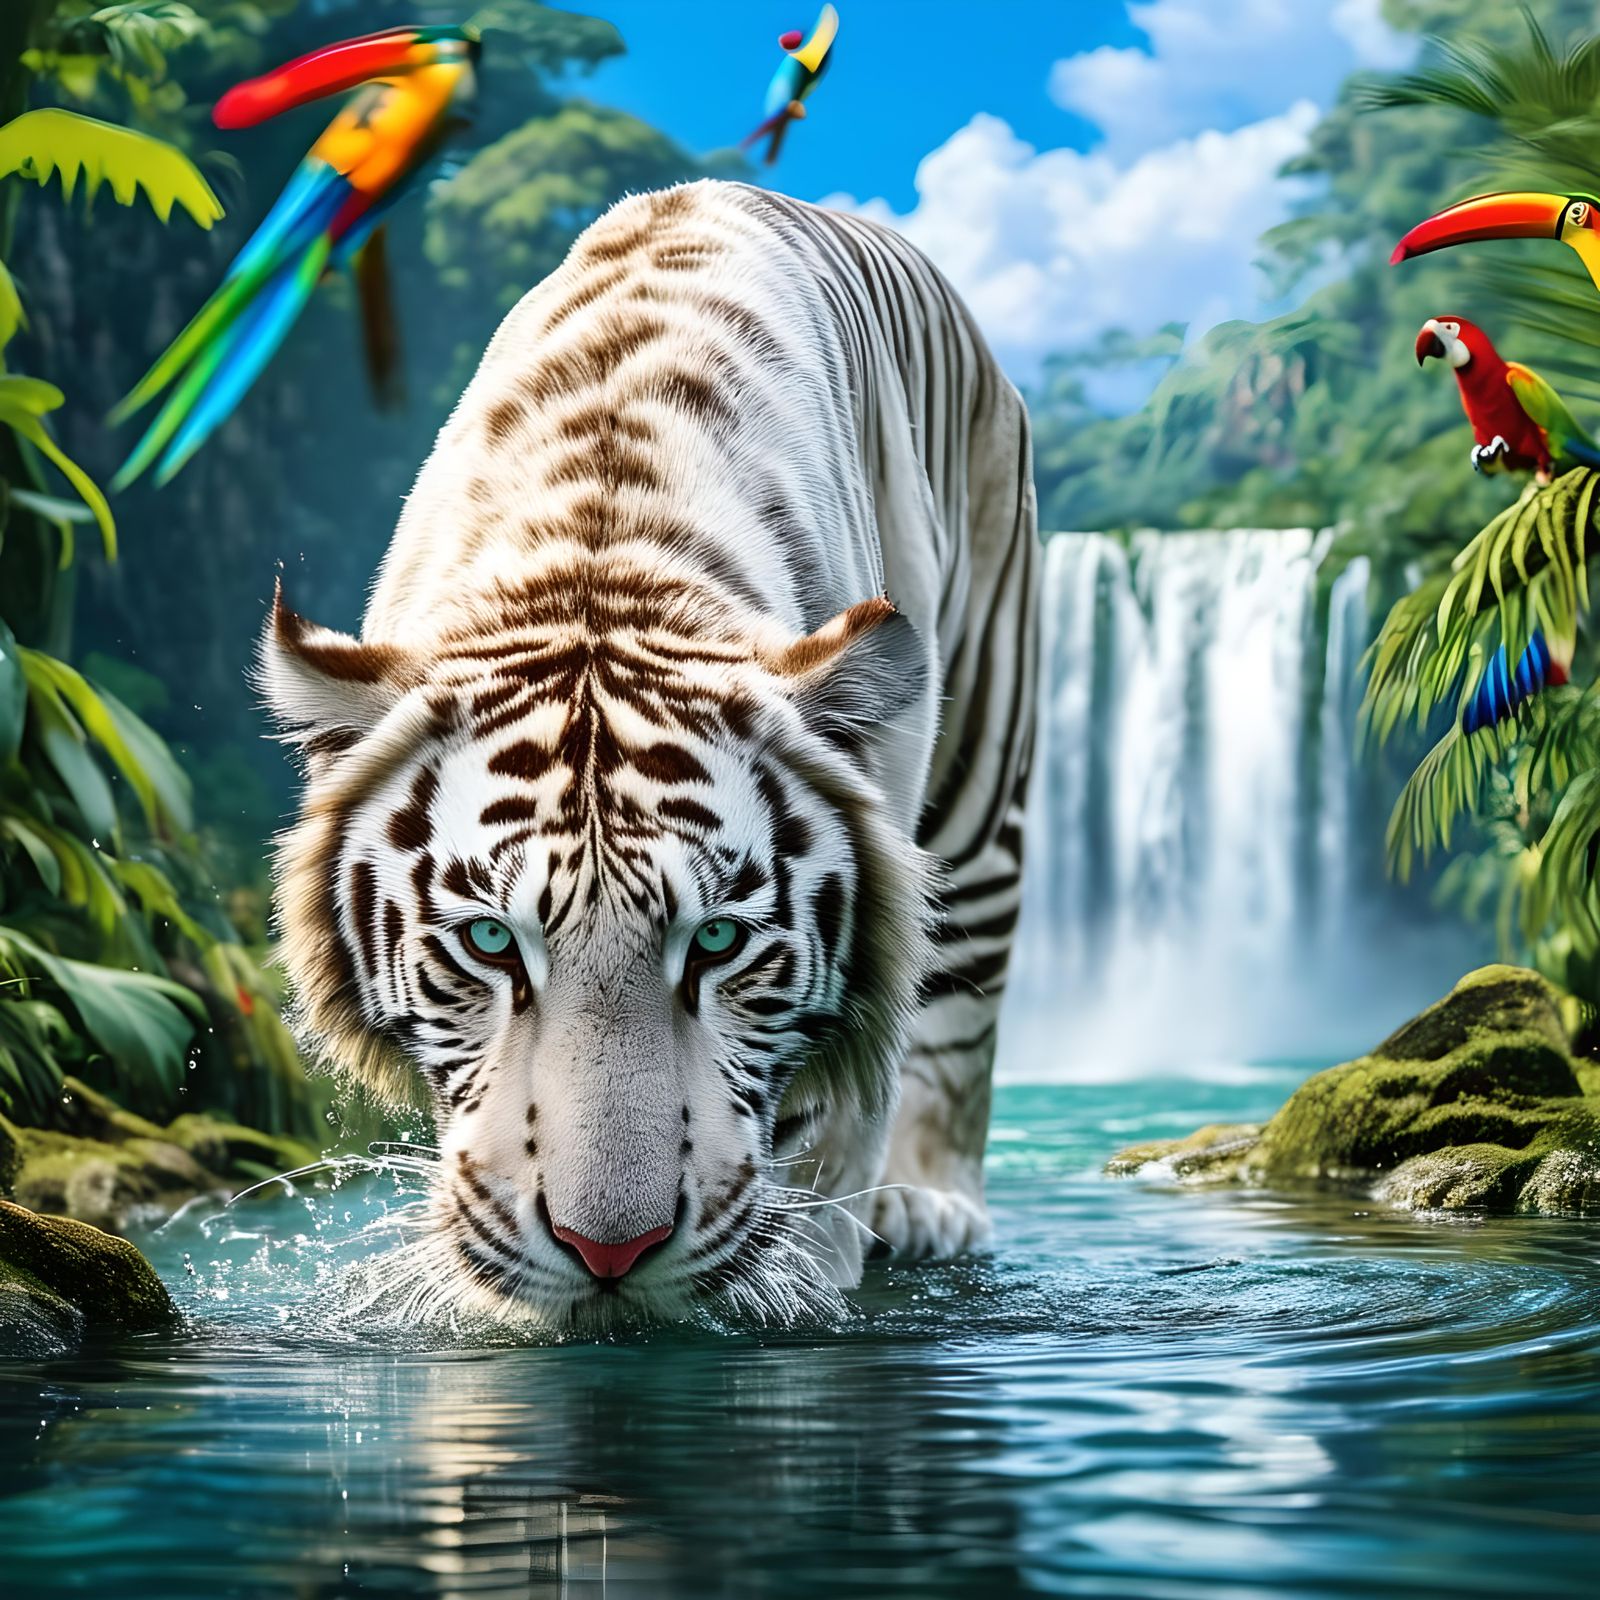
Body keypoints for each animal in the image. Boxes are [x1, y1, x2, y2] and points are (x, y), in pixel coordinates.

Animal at [260, 179, 1038, 1331]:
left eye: (716, 942)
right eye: (489, 943)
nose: (608, 1251)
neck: (601, 546)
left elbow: (835, 1130)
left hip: (985, 763)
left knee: (962, 1010)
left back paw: (929, 1207)